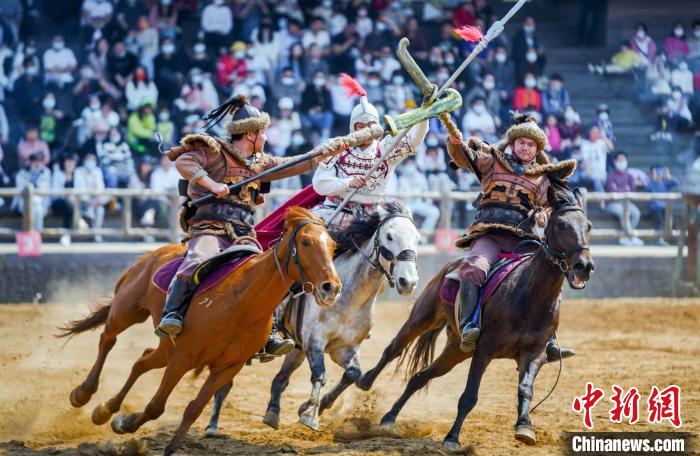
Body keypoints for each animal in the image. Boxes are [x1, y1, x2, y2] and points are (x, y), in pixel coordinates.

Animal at [56, 208, 340, 454]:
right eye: (305, 243)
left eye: (333, 245)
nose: (331, 288)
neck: (242, 304)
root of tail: (154, 254)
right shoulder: (184, 357)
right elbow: (156, 406)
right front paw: (126, 422)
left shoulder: (227, 367)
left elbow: (194, 407)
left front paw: (131, 426)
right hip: (127, 310)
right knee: (108, 339)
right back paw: (83, 393)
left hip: (165, 347)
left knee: (142, 360)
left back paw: (106, 409)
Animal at [205, 201, 418, 432]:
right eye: (389, 236)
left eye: (417, 238)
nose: (409, 282)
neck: (349, 298)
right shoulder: (314, 341)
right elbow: (320, 374)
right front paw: (310, 415)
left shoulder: (344, 348)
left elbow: (352, 374)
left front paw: (316, 406)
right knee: (225, 381)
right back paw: (212, 424)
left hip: (296, 348)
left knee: (281, 378)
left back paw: (273, 412)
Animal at [358, 184, 592, 448]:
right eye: (561, 225)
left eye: (588, 226)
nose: (584, 266)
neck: (528, 296)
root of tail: (451, 267)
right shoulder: (484, 350)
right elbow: (469, 396)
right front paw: (452, 438)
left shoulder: (534, 354)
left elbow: (525, 389)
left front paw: (524, 427)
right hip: (423, 317)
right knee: (394, 349)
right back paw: (366, 381)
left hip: (456, 350)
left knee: (420, 377)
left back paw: (389, 417)